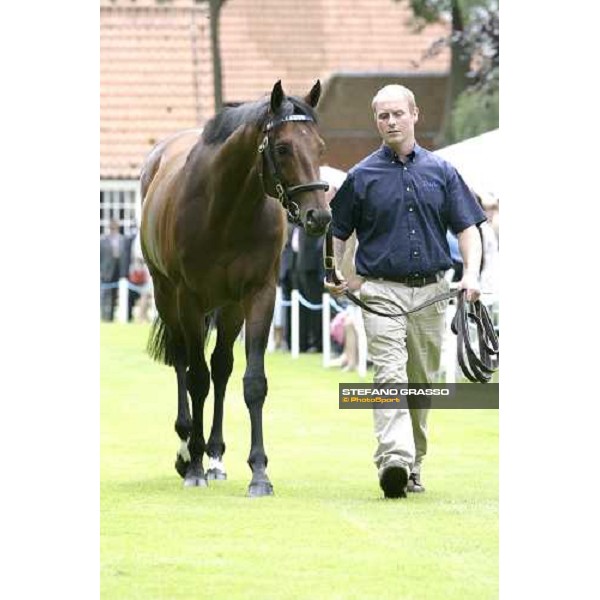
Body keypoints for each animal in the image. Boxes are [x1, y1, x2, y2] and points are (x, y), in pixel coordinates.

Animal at [139, 82, 330, 500]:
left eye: (320, 146)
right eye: (283, 148)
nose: (319, 216)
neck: (226, 210)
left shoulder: (259, 295)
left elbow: (252, 382)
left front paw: (259, 472)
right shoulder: (189, 299)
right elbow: (196, 378)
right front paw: (193, 466)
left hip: (229, 309)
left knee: (222, 367)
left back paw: (215, 457)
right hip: (167, 297)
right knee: (183, 362)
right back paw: (187, 450)